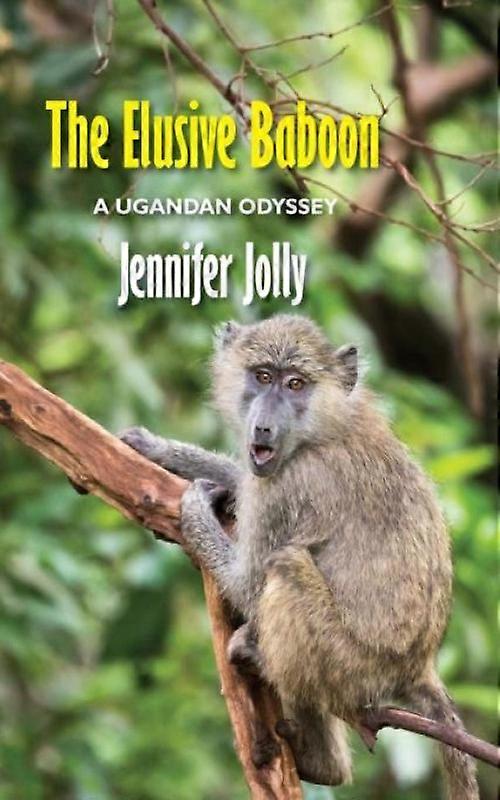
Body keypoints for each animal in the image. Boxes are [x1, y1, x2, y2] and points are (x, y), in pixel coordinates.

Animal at [120, 314, 479, 799]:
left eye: (295, 384)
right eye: (263, 377)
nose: (264, 428)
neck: (322, 428)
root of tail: (418, 666)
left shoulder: (288, 488)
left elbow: (248, 585)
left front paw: (193, 508)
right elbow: (241, 480)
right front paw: (162, 450)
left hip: (348, 667)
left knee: (285, 567)